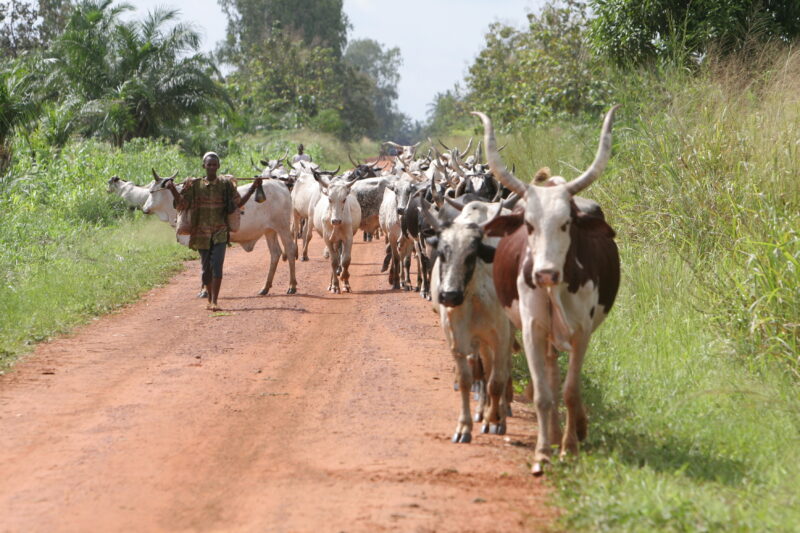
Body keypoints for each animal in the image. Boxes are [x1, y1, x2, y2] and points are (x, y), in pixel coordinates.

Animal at [475, 106, 621, 475]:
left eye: (566, 223)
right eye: (528, 225)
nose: (544, 273)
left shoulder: (582, 330)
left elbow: (570, 391)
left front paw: (570, 448)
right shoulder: (531, 328)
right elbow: (543, 393)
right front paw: (543, 452)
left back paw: (573, 430)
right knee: (552, 374)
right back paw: (553, 433)